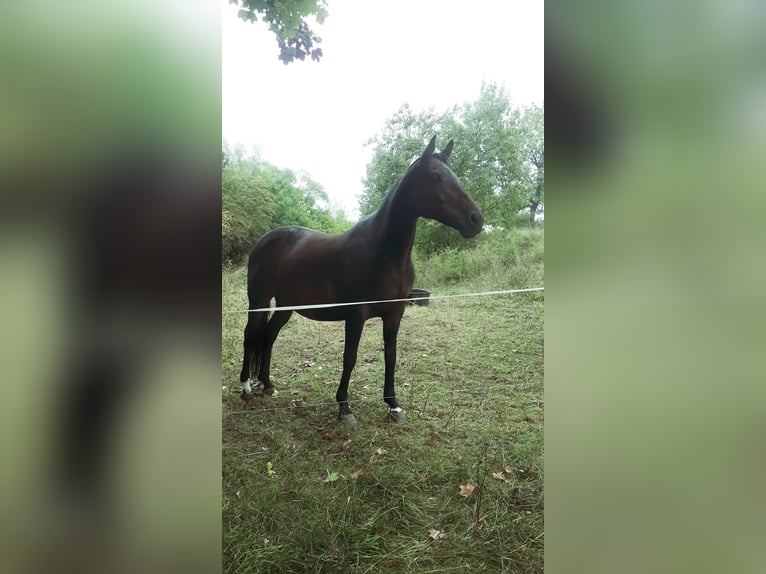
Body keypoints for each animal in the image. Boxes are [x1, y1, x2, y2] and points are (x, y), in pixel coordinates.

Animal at [238, 134, 486, 424]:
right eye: (436, 177)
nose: (476, 220)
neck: (385, 255)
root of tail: (265, 240)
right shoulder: (356, 315)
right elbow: (350, 357)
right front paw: (344, 408)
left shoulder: (395, 314)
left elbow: (391, 356)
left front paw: (394, 405)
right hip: (259, 299)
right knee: (250, 335)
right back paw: (246, 388)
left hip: (286, 305)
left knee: (269, 336)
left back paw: (268, 385)